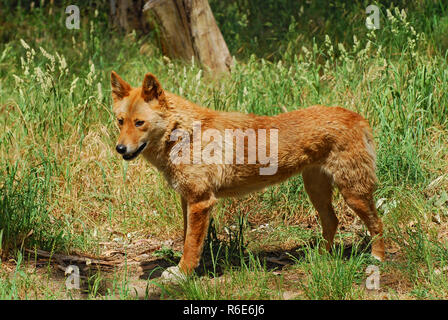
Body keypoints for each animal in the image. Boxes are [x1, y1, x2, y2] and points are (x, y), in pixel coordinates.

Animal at [109, 71, 384, 278]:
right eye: (121, 121)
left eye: (139, 123)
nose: (120, 149)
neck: (185, 133)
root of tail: (357, 117)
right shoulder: (188, 200)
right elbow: (188, 240)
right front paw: (185, 270)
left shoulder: (200, 201)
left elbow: (190, 245)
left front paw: (183, 274)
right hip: (317, 191)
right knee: (332, 222)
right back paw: (321, 257)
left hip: (353, 193)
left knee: (377, 224)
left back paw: (377, 258)